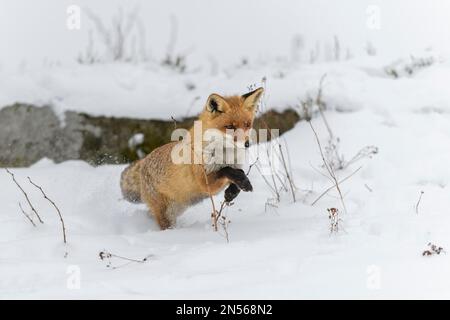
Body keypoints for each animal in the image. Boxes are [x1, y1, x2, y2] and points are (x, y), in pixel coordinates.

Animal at [119, 87, 264, 230]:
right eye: (230, 127)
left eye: (247, 124)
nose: (247, 144)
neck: (225, 155)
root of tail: (144, 160)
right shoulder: (205, 182)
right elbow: (226, 170)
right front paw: (241, 183)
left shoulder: (235, 167)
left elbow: (238, 174)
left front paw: (232, 192)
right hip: (167, 214)